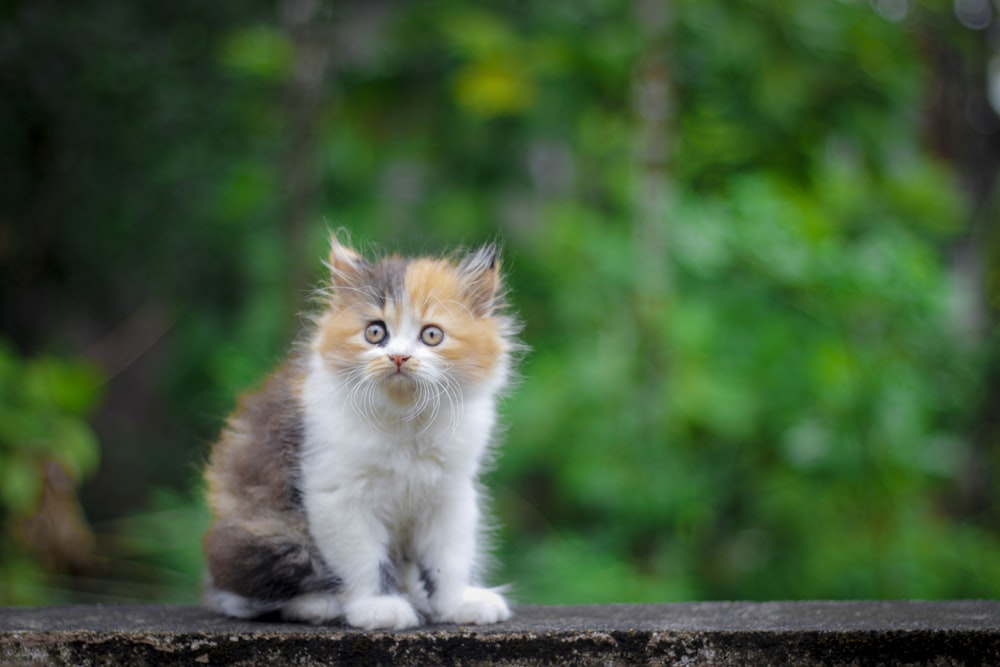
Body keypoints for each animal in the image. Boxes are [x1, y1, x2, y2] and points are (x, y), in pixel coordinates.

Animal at [199, 239, 520, 632]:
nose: (398, 357)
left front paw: (456, 604)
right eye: (375, 332)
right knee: (245, 594)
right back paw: (320, 605)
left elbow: (449, 558)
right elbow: (364, 560)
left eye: (431, 335)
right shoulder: (338, 493)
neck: (405, 421)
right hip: (269, 532)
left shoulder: (451, 493)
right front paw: (378, 608)